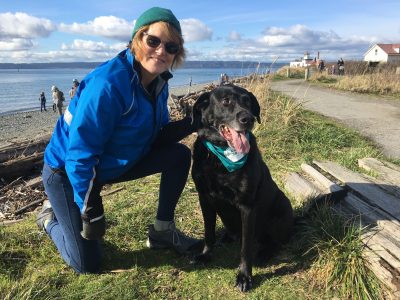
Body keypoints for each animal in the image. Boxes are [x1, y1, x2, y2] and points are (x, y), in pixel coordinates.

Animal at [191, 84, 294, 290]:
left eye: (248, 101)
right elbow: (208, 233)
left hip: (281, 209)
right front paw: (206, 255)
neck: (220, 157)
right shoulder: (204, 197)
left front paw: (245, 276)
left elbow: (245, 247)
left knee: (276, 242)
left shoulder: (247, 206)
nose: (248, 119)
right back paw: (228, 237)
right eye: (226, 101)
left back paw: (264, 253)